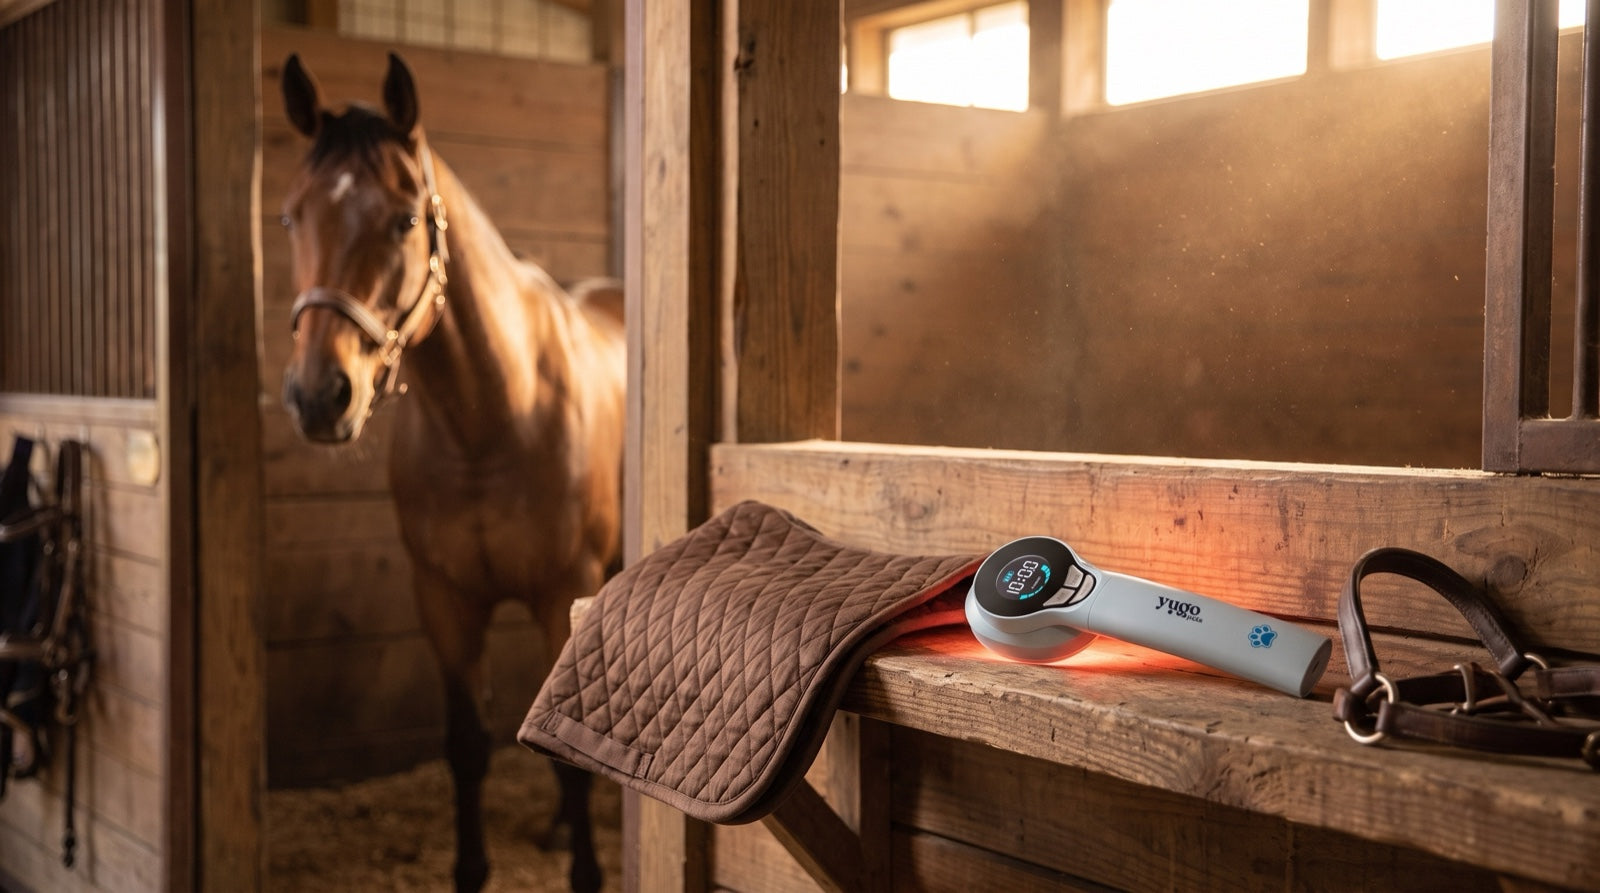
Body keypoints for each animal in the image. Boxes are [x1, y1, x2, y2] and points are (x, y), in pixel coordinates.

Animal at [276, 52, 624, 893]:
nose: (319, 395)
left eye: (405, 220)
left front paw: (587, 871)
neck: (491, 420)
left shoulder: (559, 590)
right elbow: (467, 744)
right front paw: (473, 869)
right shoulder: (442, 597)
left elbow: (566, 752)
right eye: (291, 217)